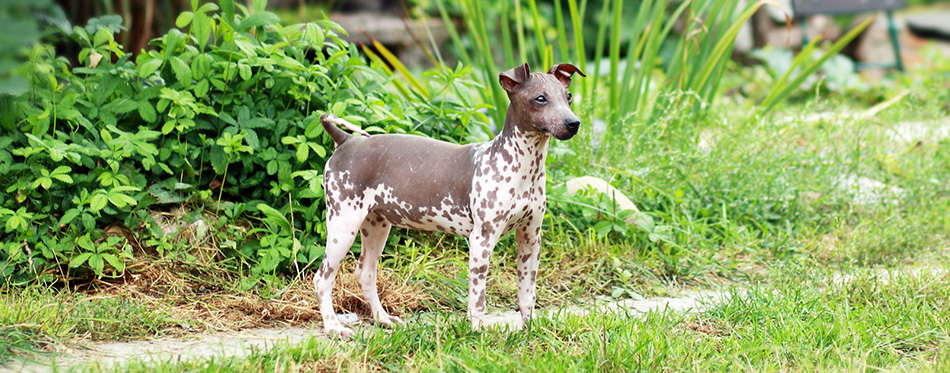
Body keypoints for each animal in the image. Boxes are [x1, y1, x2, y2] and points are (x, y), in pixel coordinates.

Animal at [316, 61, 584, 338]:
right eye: (540, 99)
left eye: (568, 97)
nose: (573, 123)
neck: (522, 167)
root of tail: (345, 140)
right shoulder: (482, 241)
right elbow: (478, 299)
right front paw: (477, 333)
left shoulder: (531, 238)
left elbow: (527, 294)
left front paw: (529, 331)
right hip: (343, 226)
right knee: (322, 279)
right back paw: (334, 327)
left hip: (377, 226)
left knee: (365, 273)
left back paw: (383, 319)